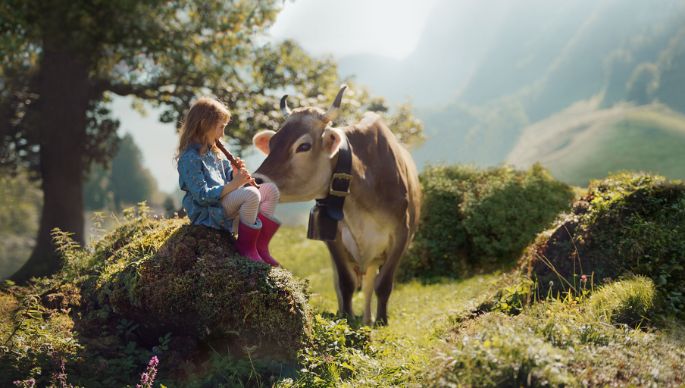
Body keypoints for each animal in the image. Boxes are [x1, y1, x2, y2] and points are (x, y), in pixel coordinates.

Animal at [252, 86, 420, 326]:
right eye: (272, 143)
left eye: (304, 146)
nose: (256, 180)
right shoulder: (332, 236)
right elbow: (345, 282)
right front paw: (346, 318)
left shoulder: (401, 236)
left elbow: (384, 284)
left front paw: (381, 321)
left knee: (369, 285)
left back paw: (368, 319)